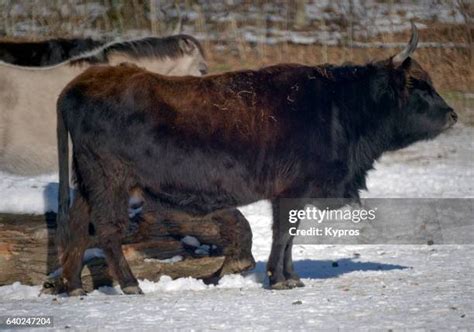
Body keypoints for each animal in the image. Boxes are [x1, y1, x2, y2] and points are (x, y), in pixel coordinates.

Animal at [55, 22, 456, 294]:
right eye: (418, 84)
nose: (452, 114)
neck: (337, 106)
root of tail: (82, 82)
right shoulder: (291, 191)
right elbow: (283, 234)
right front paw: (279, 279)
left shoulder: (291, 194)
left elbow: (289, 236)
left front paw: (291, 276)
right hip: (109, 181)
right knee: (107, 229)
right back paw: (130, 284)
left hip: (88, 181)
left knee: (77, 224)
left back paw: (73, 284)